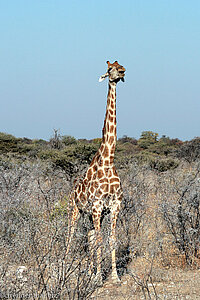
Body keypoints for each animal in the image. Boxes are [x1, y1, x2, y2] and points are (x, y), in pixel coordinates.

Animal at [67, 60, 126, 284]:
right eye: (110, 69)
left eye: (121, 66)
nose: (121, 73)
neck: (109, 160)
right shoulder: (97, 205)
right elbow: (101, 239)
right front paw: (100, 277)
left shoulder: (114, 206)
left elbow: (111, 239)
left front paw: (114, 277)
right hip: (75, 209)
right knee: (71, 234)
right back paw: (66, 263)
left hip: (92, 214)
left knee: (90, 236)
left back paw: (91, 270)